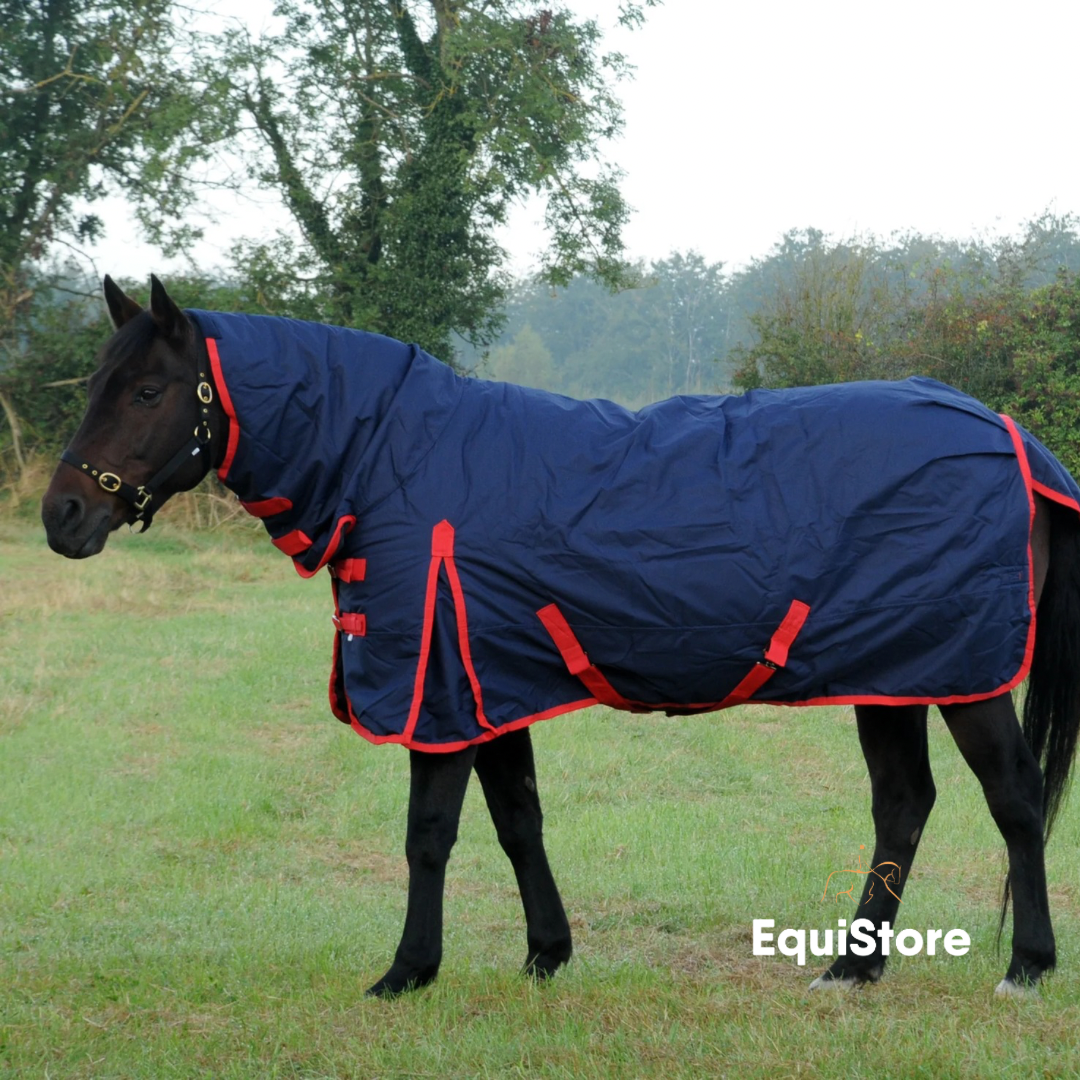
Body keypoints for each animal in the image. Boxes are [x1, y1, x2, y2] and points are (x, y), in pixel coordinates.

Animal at [41, 275, 1080, 998]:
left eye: (148, 391)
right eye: (98, 383)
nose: (61, 516)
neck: (391, 457)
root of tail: (1012, 436)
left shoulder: (438, 692)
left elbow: (428, 834)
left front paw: (406, 972)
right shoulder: (485, 686)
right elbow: (518, 822)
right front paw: (547, 954)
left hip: (968, 676)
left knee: (1015, 800)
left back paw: (1026, 967)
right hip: (894, 673)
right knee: (904, 803)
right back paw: (852, 970)